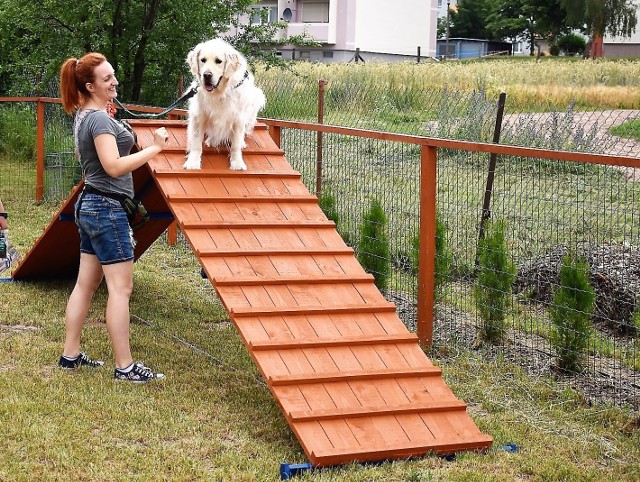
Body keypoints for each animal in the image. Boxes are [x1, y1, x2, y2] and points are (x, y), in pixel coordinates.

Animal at [184, 39, 266, 171]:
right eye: (203, 60)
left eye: (219, 61)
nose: (207, 75)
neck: (219, 93)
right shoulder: (199, 116)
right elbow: (196, 143)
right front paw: (193, 163)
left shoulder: (238, 118)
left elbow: (235, 144)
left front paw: (237, 163)